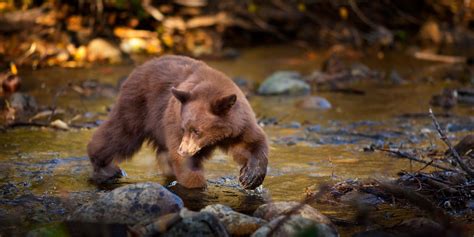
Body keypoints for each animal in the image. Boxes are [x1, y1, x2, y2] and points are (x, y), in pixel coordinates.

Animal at [87, 55, 268, 189]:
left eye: (197, 131)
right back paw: (105, 167)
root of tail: (141, 66)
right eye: (184, 128)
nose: (183, 150)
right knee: (121, 135)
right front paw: (197, 185)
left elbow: (250, 144)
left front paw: (250, 177)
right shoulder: (174, 121)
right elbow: (185, 164)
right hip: (137, 107)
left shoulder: (239, 126)